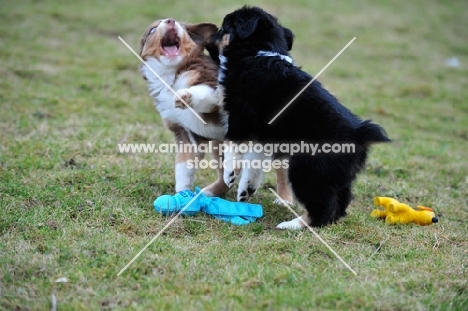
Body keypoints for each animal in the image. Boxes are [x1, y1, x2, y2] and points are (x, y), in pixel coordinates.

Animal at [207, 5, 390, 229]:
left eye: (223, 28)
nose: (208, 39)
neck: (259, 52)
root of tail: (360, 134)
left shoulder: (241, 115)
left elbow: (231, 144)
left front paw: (230, 175)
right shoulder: (265, 136)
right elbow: (255, 161)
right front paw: (246, 189)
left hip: (308, 170)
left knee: (323, 208)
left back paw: (292, 225)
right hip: (336, 178)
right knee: (340, 204)